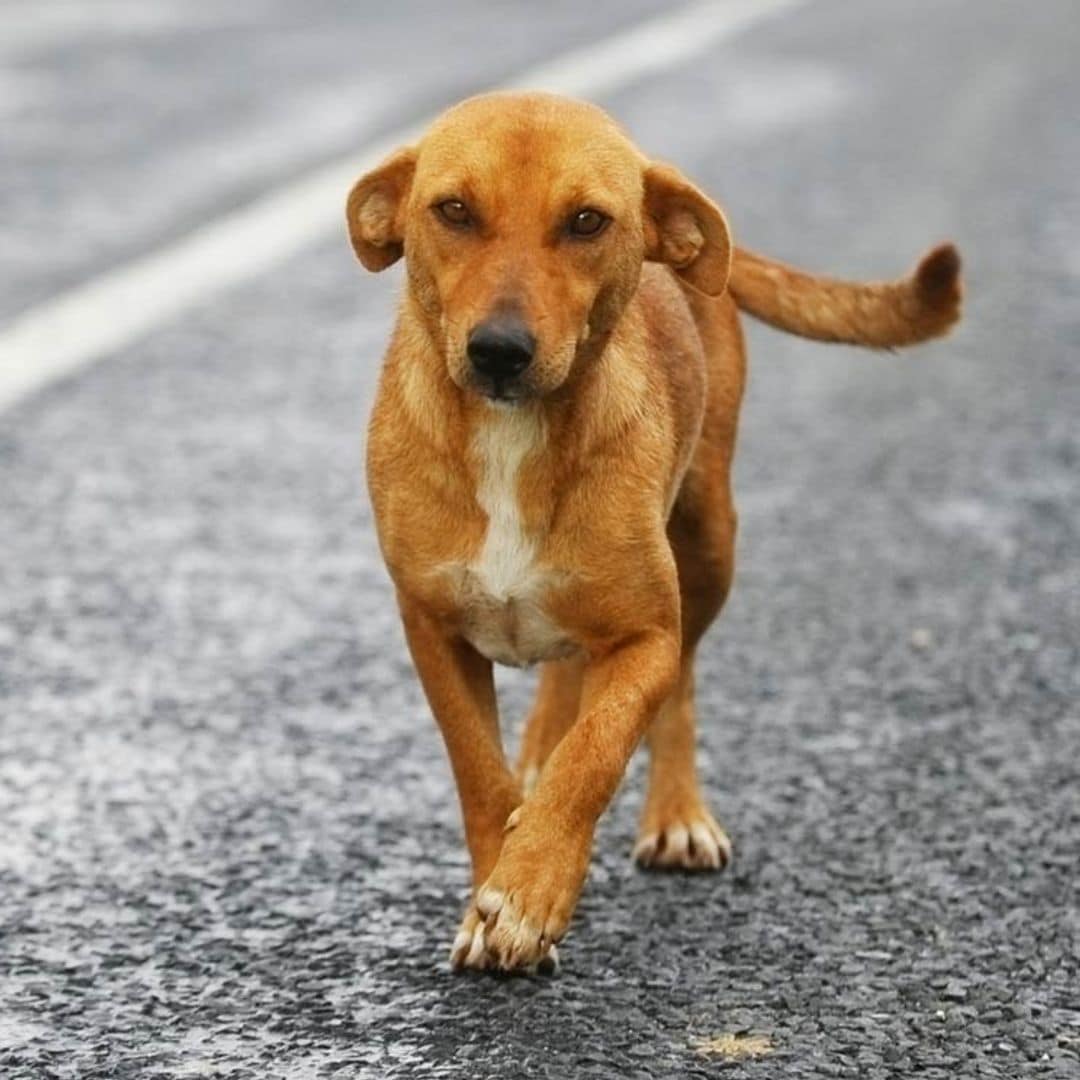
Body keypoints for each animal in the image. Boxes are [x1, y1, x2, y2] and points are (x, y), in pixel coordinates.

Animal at [347, 90, 963, 972]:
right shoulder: (433, 629)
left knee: (679, 688)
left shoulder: (646, 637)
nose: (499, 351)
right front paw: (496, 878)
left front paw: (530, 890)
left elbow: (597, 753)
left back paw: (674, 817)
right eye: (453, 210)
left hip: (709, 545)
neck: (513, 438)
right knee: (561, 690)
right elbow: (480, 772)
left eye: (587, 221)